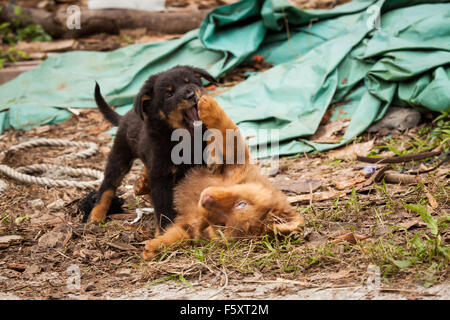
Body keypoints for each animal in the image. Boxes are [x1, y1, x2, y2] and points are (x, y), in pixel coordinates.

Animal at [88, 65, 216, 230]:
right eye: (169, 94)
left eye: (190, 82)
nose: (191, 94)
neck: (187, 138)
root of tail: (125, 116)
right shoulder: (161, 176)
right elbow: (163, 208)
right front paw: (164, 232)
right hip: (120, 156)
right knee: (107, 186)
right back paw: (96, 215)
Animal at [142, 95, 304, 260]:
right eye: (241, 204)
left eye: (222, 225)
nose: (206, 199)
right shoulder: (235, 162)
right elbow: (230, 133)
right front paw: (208, 104)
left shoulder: (190, 226)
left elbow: (178, 236)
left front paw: (154, 248)